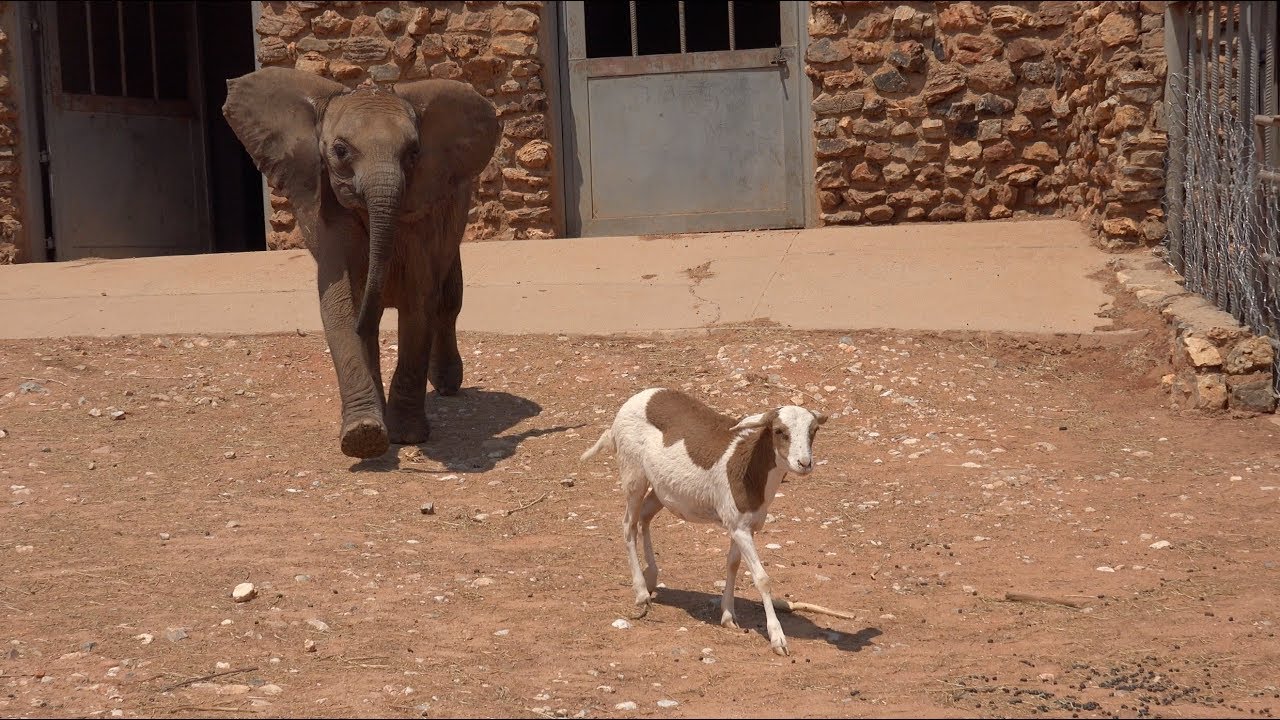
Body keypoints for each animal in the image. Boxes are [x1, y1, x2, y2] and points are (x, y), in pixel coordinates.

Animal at [222, 67, 500, 460]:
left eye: (414, 153)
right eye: (339, 151)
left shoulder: (420, 217)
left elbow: (419, 306)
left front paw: (408, 436)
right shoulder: (328, 214)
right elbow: (339, 306)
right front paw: (364, 437)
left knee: (447, 300)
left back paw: (446, 385)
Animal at [581, 387, 827, 656]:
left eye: (814, 431)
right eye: (779, 431)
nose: (804, 463)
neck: (751, 470)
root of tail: (638, 398)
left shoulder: (741, 526)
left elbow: (733, 564)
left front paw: (728, 616)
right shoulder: (740, 527)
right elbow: (762, 578)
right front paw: (778, 638)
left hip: (663, 488)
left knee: (644, 516)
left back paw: (651, 578)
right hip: (633, 474)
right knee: (628, 525)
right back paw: (641, 593)